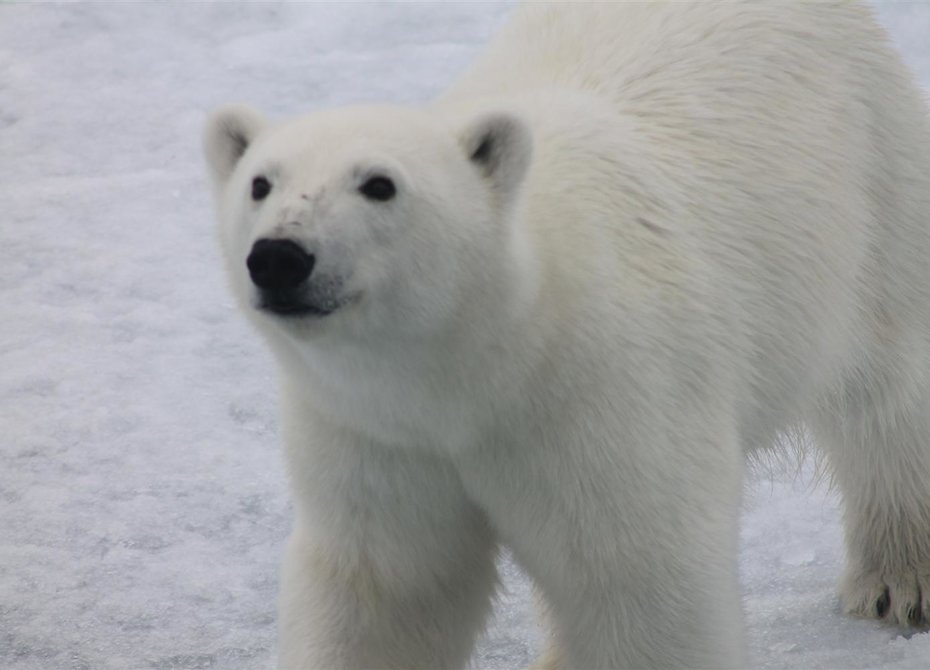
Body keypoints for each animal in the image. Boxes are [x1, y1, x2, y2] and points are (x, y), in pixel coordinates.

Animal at [207, 2, 928, 668]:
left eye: (379, 184)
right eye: (261, 182)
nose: (279, 257)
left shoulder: (599, 397)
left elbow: (638, 583)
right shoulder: (376, 434)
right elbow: (388, 590)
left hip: (872, 198)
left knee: (889, 394)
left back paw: (900, 580)